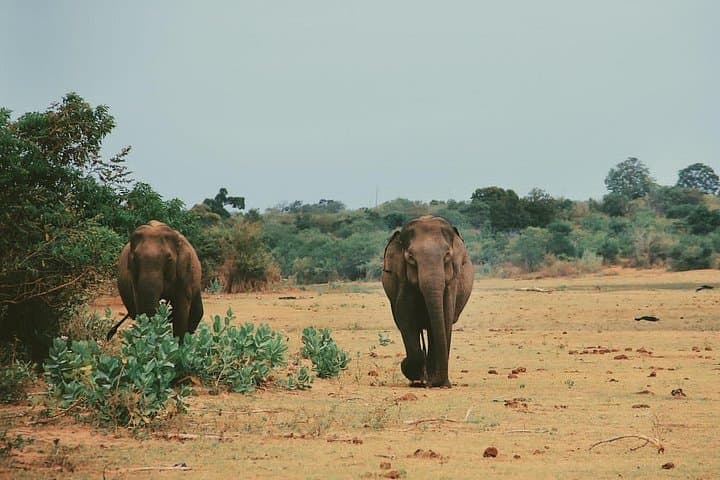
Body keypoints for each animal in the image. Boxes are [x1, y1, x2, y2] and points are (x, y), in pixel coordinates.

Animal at [381, 216, 473, 387]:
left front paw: (436, 382)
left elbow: (445, 319)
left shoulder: (451, 284)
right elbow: (406, 319)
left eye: (447, 255)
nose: (444, 383)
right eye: (411, 258)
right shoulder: (403, 282)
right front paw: (413, 373)